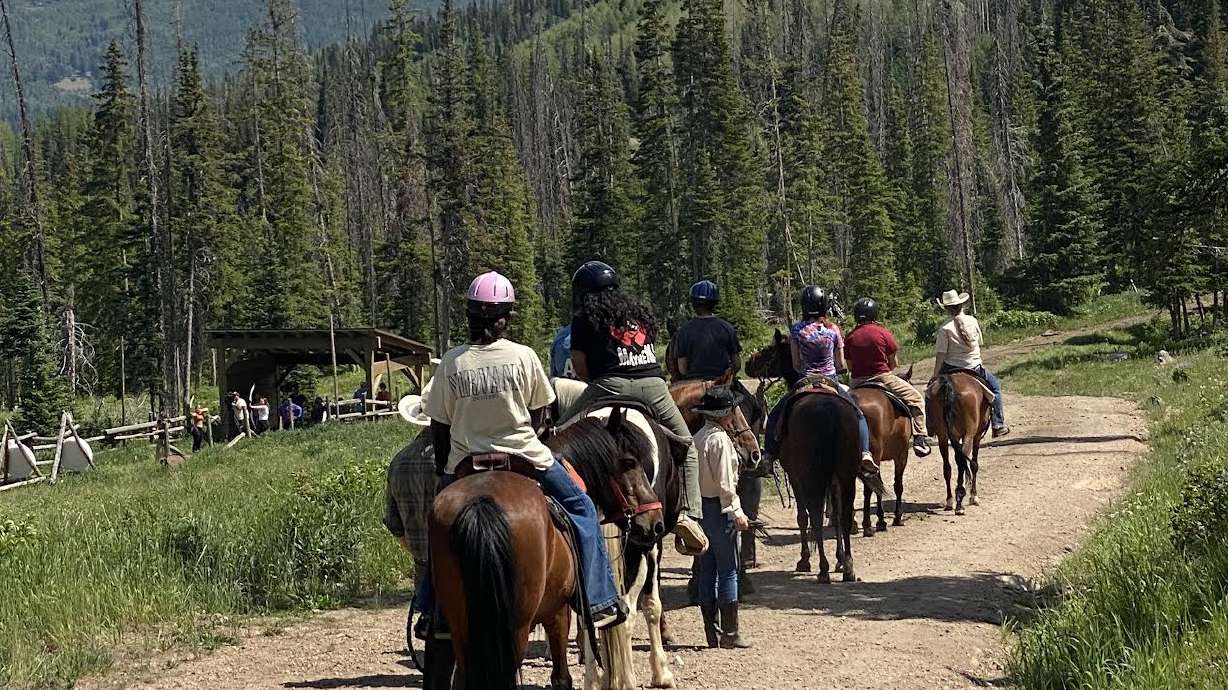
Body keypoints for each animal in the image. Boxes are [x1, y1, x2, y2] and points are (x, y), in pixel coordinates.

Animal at [425, 411, 665, 690]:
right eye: (629, 462)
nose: (655, 522)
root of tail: (481, 502)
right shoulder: (558, 612)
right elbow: (561, 678)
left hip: (463, 624)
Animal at [745, 331, 863, 582]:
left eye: (770, 350)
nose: (748, 364)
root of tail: (829, 412)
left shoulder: (795, 475)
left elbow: (803, 516)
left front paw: (805, 560)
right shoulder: (834, 479)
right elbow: (836, 515)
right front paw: (840, 559)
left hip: (813, 475)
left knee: (815, 515)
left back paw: (823, 569)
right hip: (845, 474)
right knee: (844, 514)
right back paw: (848, 568)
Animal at [850, 365, 916, 535]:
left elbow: (879, 486)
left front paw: (881, 520)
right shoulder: (901, 455)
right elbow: (897, 485)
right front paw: (896, 517)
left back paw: (853, 525)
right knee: (868, 488)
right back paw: (867, 526)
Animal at [925, 370, 992, 515]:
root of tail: (949, 382)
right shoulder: (976, 436)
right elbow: (974, 465)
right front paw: (974, 496)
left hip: (943, 436)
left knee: (947, 467)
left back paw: (950, 501)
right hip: (969, 435)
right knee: (963, 462)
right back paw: (960, 502)